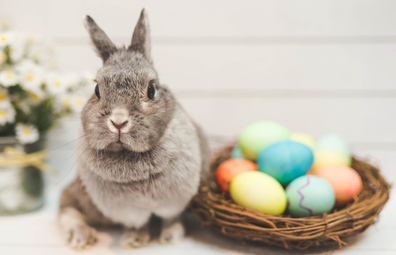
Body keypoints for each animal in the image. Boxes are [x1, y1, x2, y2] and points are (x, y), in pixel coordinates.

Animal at [58, 8, 210, 250]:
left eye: (151, 89)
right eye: (97, 90)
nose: (119, 122)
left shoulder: (174, 203)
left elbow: (171, 219)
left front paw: (170, 237)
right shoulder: (129, 213)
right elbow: (137, 225)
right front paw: (133, 240)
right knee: (66, 204)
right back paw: (80, 237)